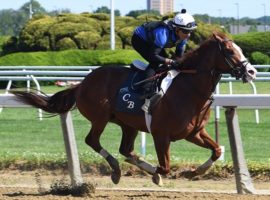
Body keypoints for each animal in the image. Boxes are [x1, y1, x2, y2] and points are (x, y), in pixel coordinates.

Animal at [11, 32, 256, 184]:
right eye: (230, 51)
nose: (251, 72)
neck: (188, 88)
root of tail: (82, 83)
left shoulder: (193, 132)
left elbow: (217, 150)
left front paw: (194, 171)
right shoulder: (161, 135)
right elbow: (165, 167)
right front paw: (159, 175)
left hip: (128, 124)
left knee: (125, 149)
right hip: (100, 117)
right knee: (93, 141)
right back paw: (116, 170)